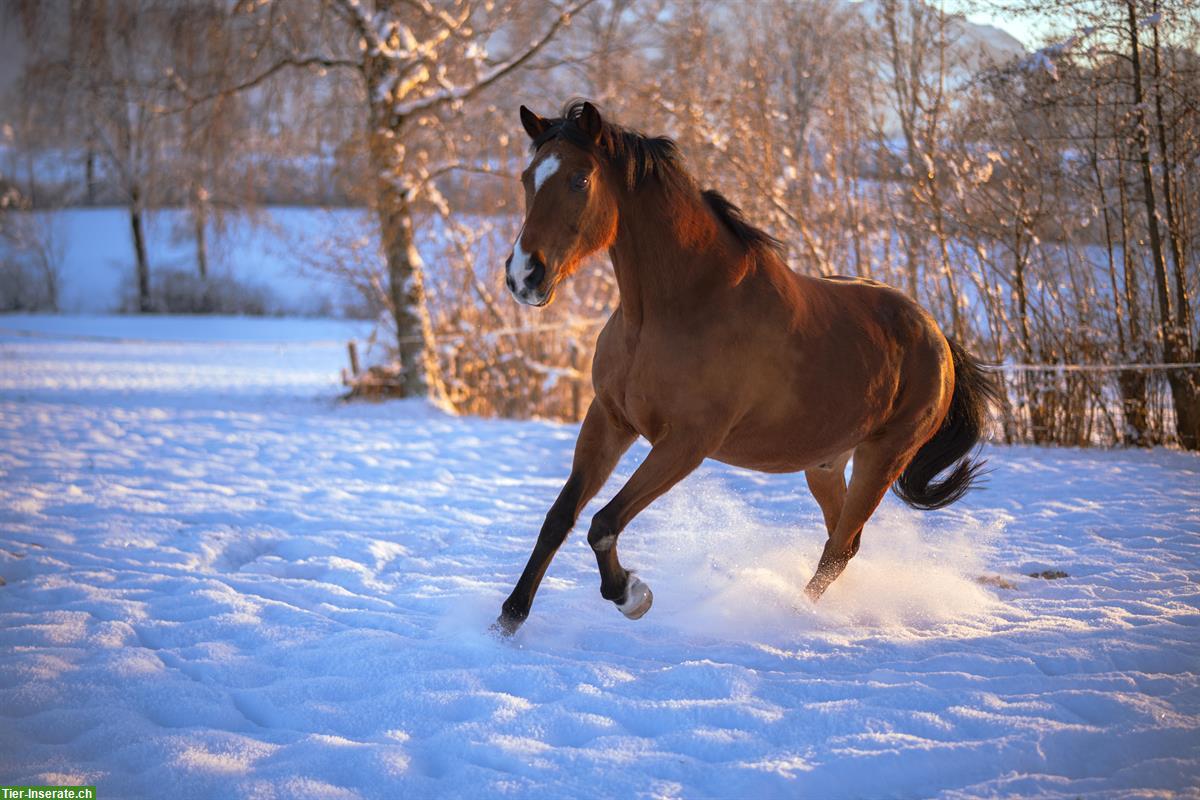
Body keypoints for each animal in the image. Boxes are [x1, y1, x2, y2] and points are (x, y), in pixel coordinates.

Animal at [492, 101, 998, 638]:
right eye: (527, 178)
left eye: (580, 180)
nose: (523, 275)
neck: (674, 309)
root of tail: (937, 335)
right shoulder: (610, 419)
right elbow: (561, 517)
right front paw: (509, 618)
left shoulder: (687, 443)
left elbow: (603, 524)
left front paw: (631, 594)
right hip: (825, 464)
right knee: (842, 542)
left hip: (883, 458)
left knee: (839, 548)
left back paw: (789, 616)